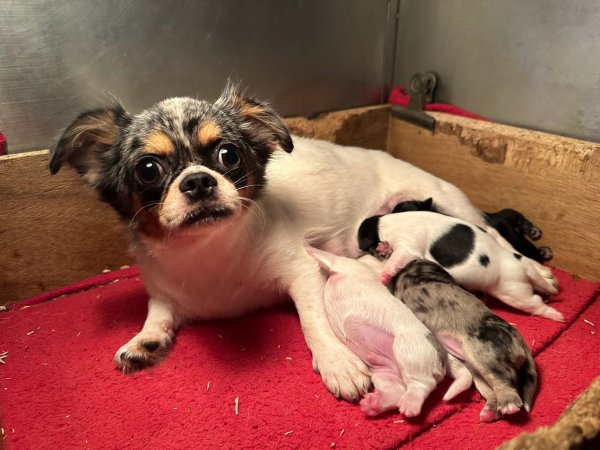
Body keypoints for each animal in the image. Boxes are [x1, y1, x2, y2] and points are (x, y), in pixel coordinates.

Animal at [308, 248, 445, 417]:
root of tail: (442, 364)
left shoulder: (344, 263)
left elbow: (328, 256)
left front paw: (308, 248)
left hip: (410, 352)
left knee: (423, 383)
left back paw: (408, 406)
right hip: (384, 371)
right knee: (396, 390)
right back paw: (372, 404)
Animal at [358, 211, 563, 321]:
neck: (384, 222)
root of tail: (520, 265)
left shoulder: (407, 247)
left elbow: (394, 260)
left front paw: (384, 274)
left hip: (515, 293)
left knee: (535, 303)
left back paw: (556, 315)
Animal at [393, 259, 538, 422]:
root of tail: (519, 337)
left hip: (482, 354)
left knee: (504, 379)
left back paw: (508, 403)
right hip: (475, 369)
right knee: (491, 389)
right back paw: (490, 411)